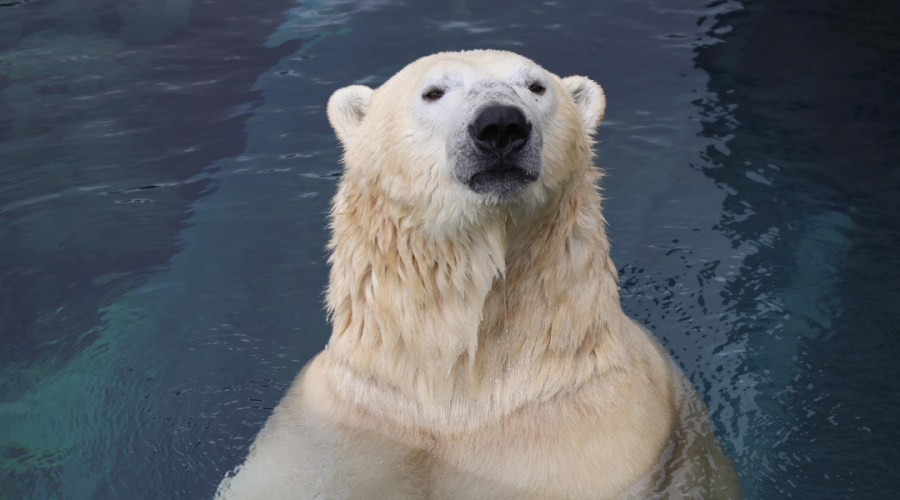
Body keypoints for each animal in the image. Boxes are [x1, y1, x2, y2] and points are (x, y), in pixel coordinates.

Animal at [214, 50, 743, 500]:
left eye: (536, 86)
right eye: (433, 92)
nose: (501, 125)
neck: (461, 395)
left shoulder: (589, 439)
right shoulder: (338, 430)